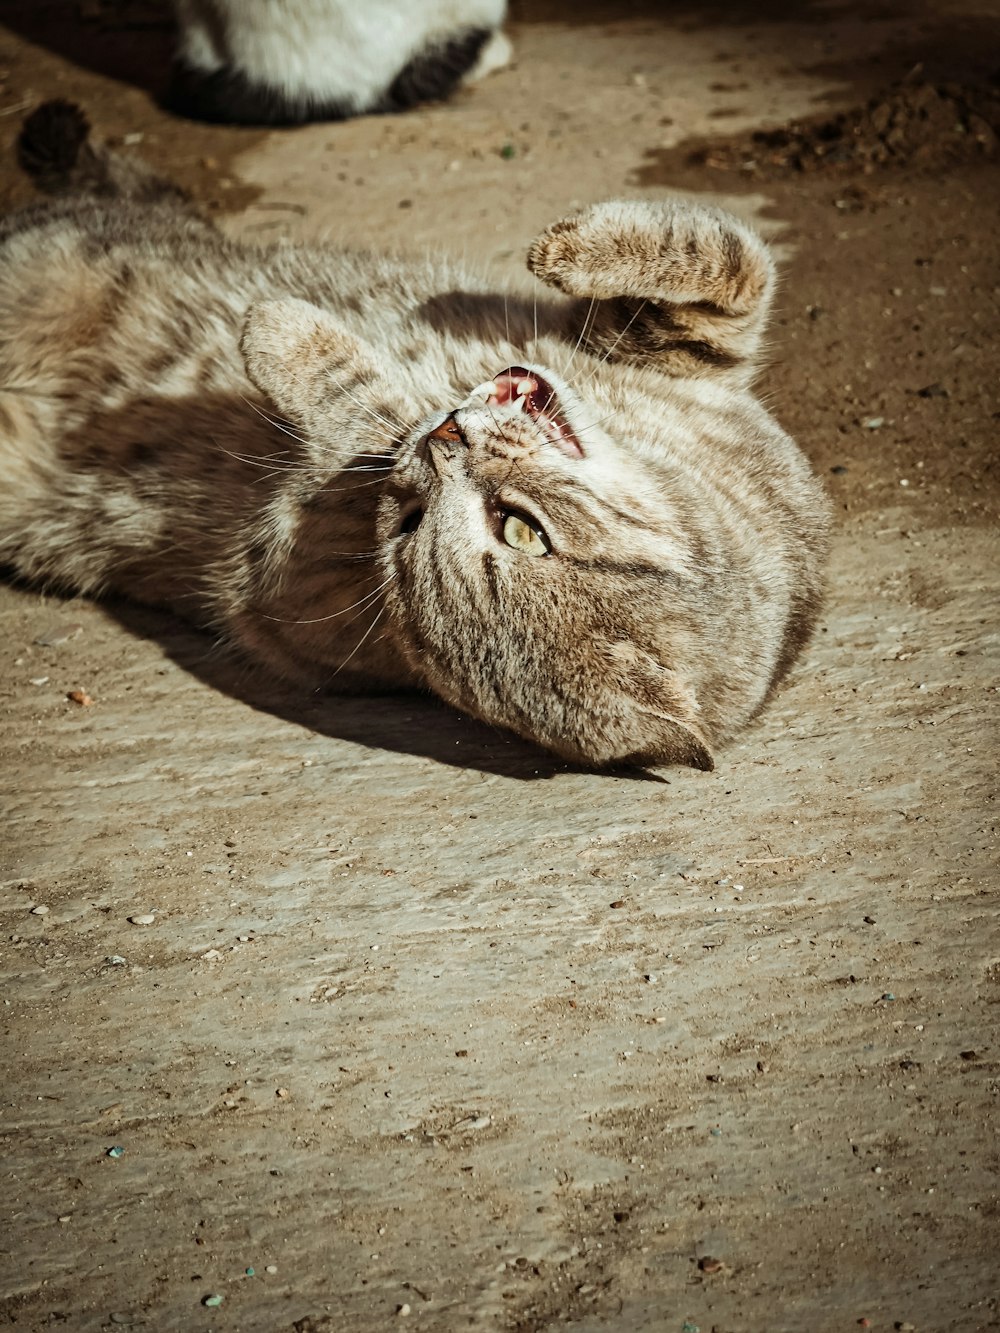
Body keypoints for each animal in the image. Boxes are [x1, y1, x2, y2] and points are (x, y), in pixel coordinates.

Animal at [0, 101, 832, 773]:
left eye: (518, 529)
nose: (445, 437)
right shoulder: (703, 348)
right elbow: (720, 256)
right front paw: (563, 249)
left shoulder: (297, 556)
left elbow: (364, 404)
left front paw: (283, 333)